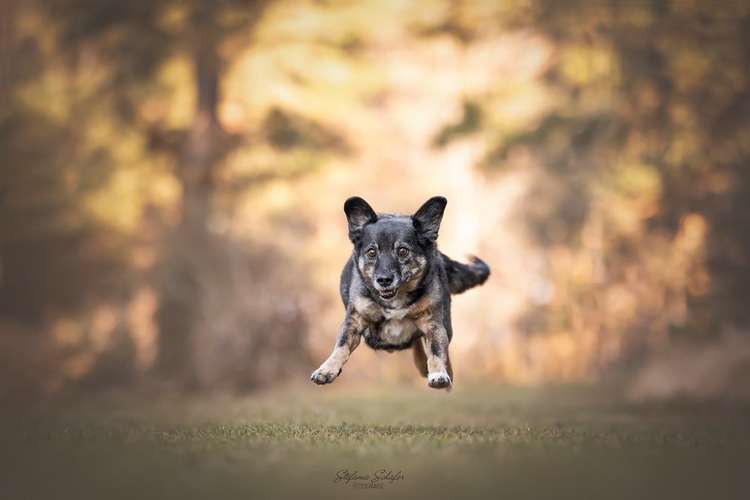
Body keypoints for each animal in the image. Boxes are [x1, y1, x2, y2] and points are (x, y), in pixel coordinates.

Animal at [310, 196, 490, 390]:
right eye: (371, 252)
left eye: (403, 251)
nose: (384, 280)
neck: (396, 301)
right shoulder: (354, 321)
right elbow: (341, 346)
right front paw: (327, 369)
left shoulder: (434, 325)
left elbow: (436, 352)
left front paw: (438, 373)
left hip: (444, 326)